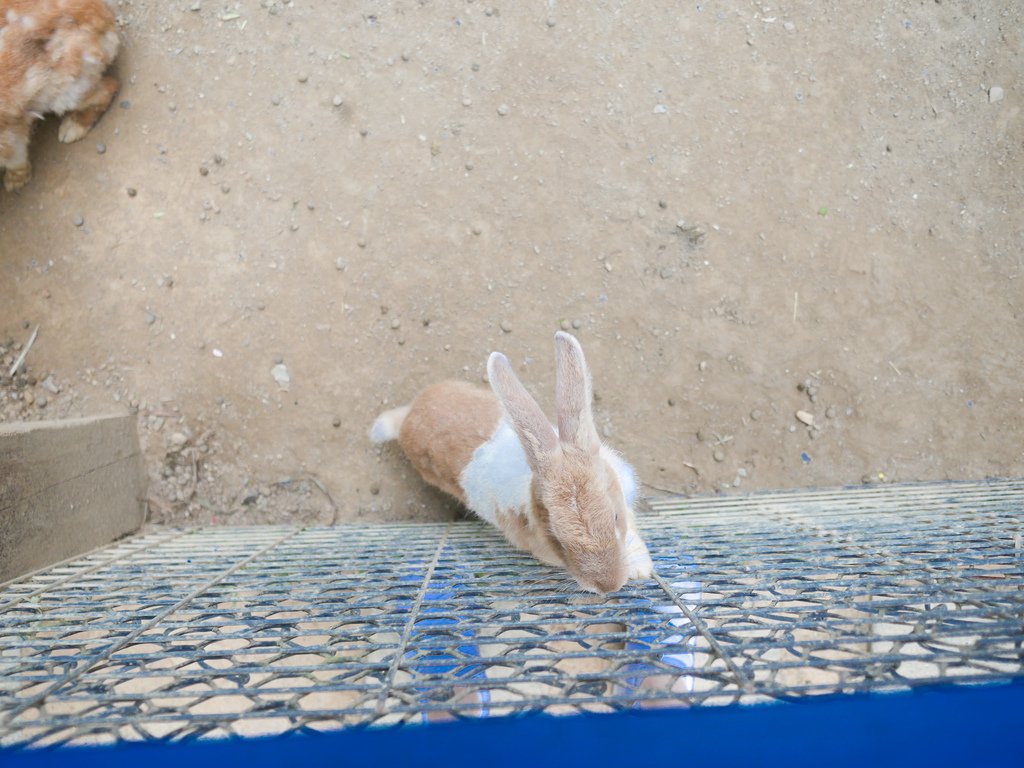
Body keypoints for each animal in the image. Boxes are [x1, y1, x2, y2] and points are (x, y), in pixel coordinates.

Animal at [0, 0, 119, 191]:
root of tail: (105, 16)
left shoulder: (8, 134)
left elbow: (15, 158)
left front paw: (15, 182)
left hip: (65, 91)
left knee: (108, 88)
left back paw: (72, 128)